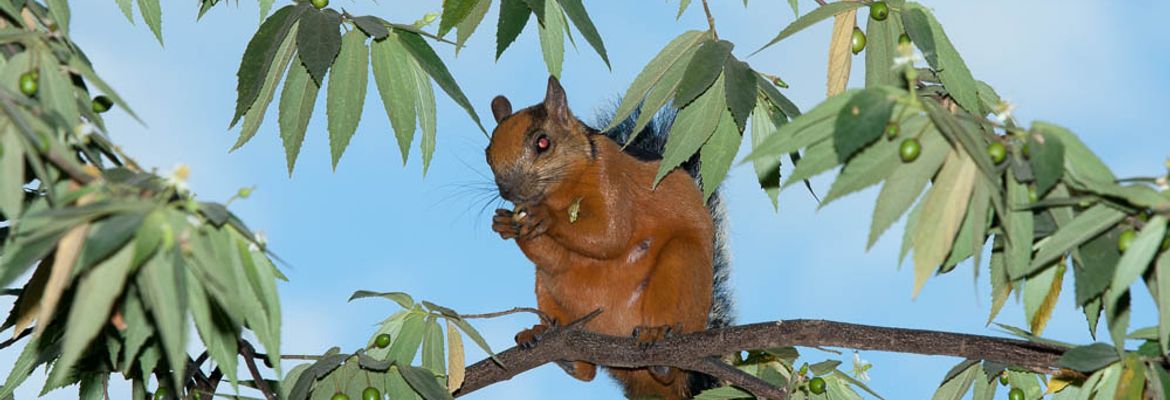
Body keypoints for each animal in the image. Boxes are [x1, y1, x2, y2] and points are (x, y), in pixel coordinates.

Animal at [486, 76, 734, 399]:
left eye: (543, 142)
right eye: (487, 153)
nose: (508, 190)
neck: (561, 192)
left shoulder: (611, 177)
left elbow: (610, 235)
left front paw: (543, 217)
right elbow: (557, 259)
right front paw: (505, 223)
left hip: (682, 268)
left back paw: (659, 341)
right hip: (549, 290)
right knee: (587, 371)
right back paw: (551, 341)